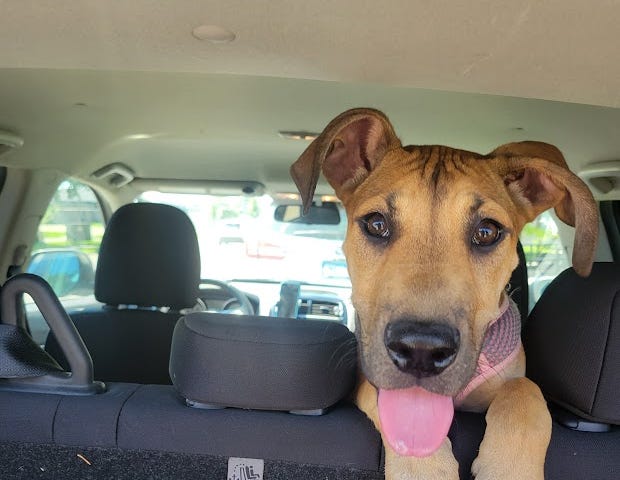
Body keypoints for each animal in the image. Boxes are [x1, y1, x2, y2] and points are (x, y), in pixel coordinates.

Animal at [294, 107, 600, 478]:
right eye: (376, 224)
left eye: (487, 232)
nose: (421, 350)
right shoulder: (367, 380)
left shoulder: (516, 381)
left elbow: (524, 391)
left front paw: (509, 468)